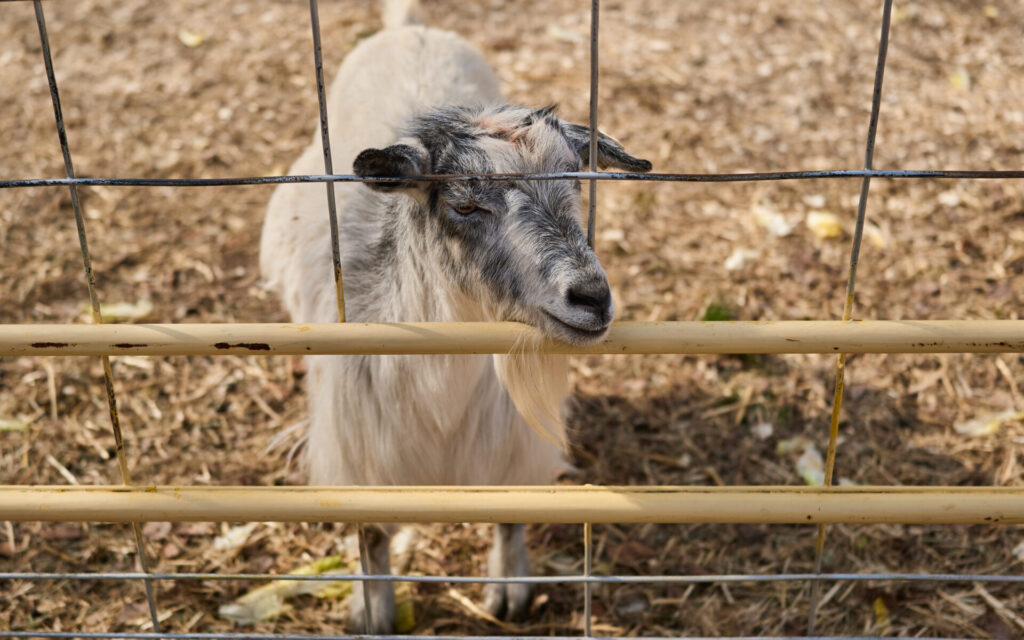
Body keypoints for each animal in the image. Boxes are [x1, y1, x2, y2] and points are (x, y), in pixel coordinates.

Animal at [260, 0, 651, 630]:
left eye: (577, 184)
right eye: (464, 204)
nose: (592, 297)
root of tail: (409, 30)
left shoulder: (511, 445)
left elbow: (510, 517)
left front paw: (510, 590)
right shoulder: (359, 452)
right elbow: (372, 536)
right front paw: (373, 610)